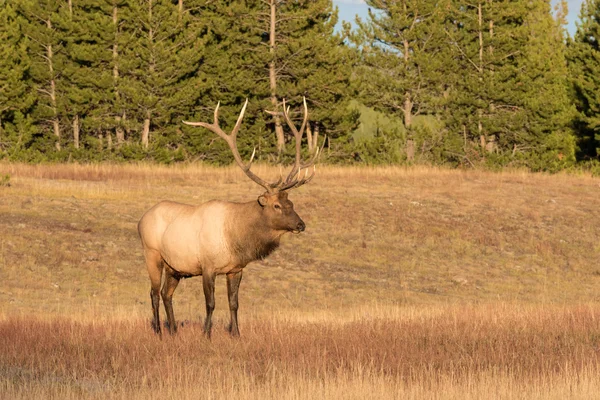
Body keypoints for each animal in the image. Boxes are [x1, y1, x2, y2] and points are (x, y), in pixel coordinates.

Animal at [138, 97, 322, 338]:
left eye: (291, 203)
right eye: (276, 205)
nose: (301, 224)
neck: (236, 238)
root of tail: (141, 219)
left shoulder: (236, 269)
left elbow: (234, 303)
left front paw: (236, 333)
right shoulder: (207, 266)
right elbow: (211, 303)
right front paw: (206, 334)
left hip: (174, 267)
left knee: (166, 294)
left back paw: (174, 330)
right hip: (152, 254)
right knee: (153, 293)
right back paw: (159, 331)